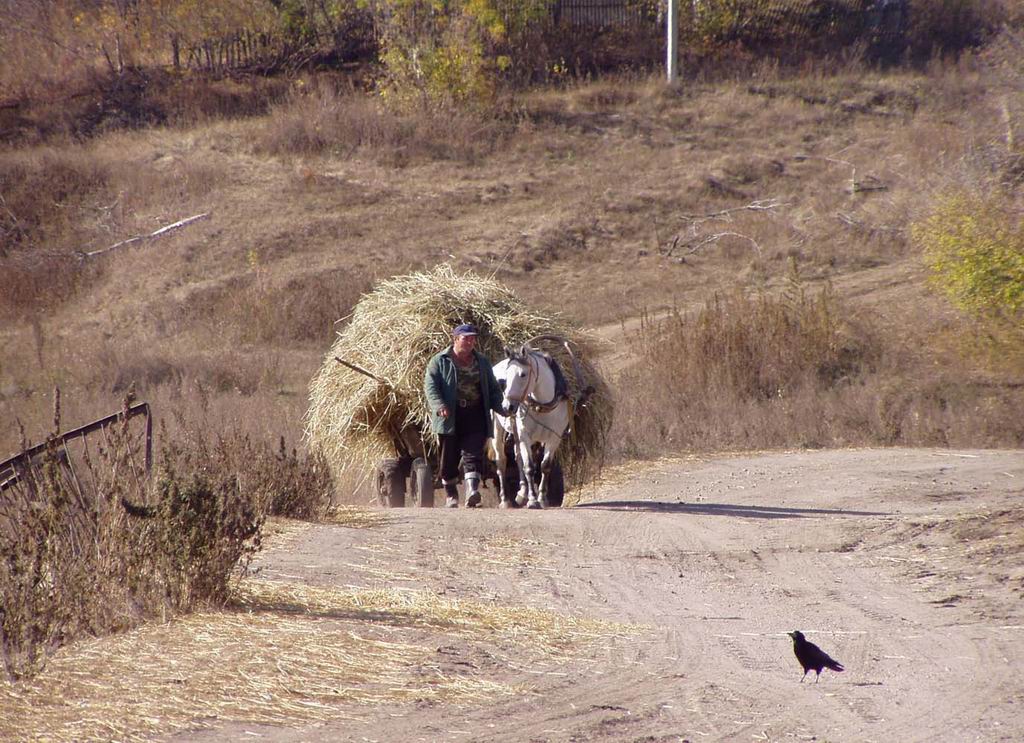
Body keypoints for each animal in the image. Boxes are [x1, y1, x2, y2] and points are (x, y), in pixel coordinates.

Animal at [491, 345, 573, 509]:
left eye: (523, 374)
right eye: (506, 376)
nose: (507, 407)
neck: (542, 406)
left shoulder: (554, 438)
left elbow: (545, 466)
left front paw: (542, 498)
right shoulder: (525, 436)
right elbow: (529, 467)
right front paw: (533, 500)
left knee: (517, 457)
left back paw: (522, 493)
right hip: (496, 429)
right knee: (501, 461)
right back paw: (505, 500)